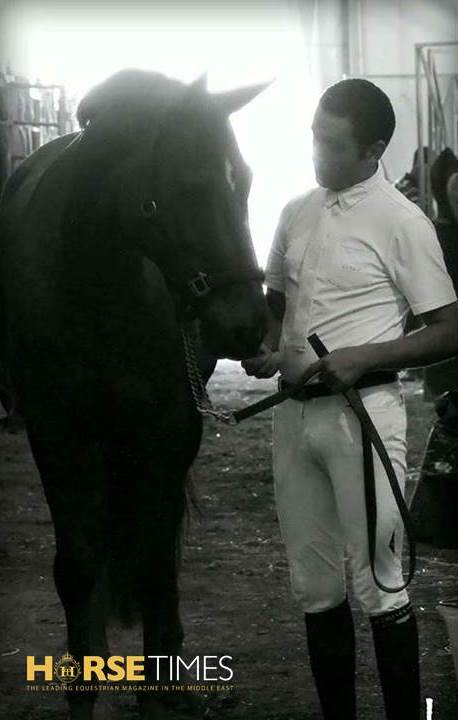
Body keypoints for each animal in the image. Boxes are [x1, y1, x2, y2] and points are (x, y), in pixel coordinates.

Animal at [0, 69, 267, 719]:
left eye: (244, 181)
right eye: (189, 186)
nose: (249, 324)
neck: (95, 282)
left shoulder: (168, 431)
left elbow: (154, 571)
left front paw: (160, 691)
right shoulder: (56, 434)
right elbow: (76, 569)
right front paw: (83, 688)